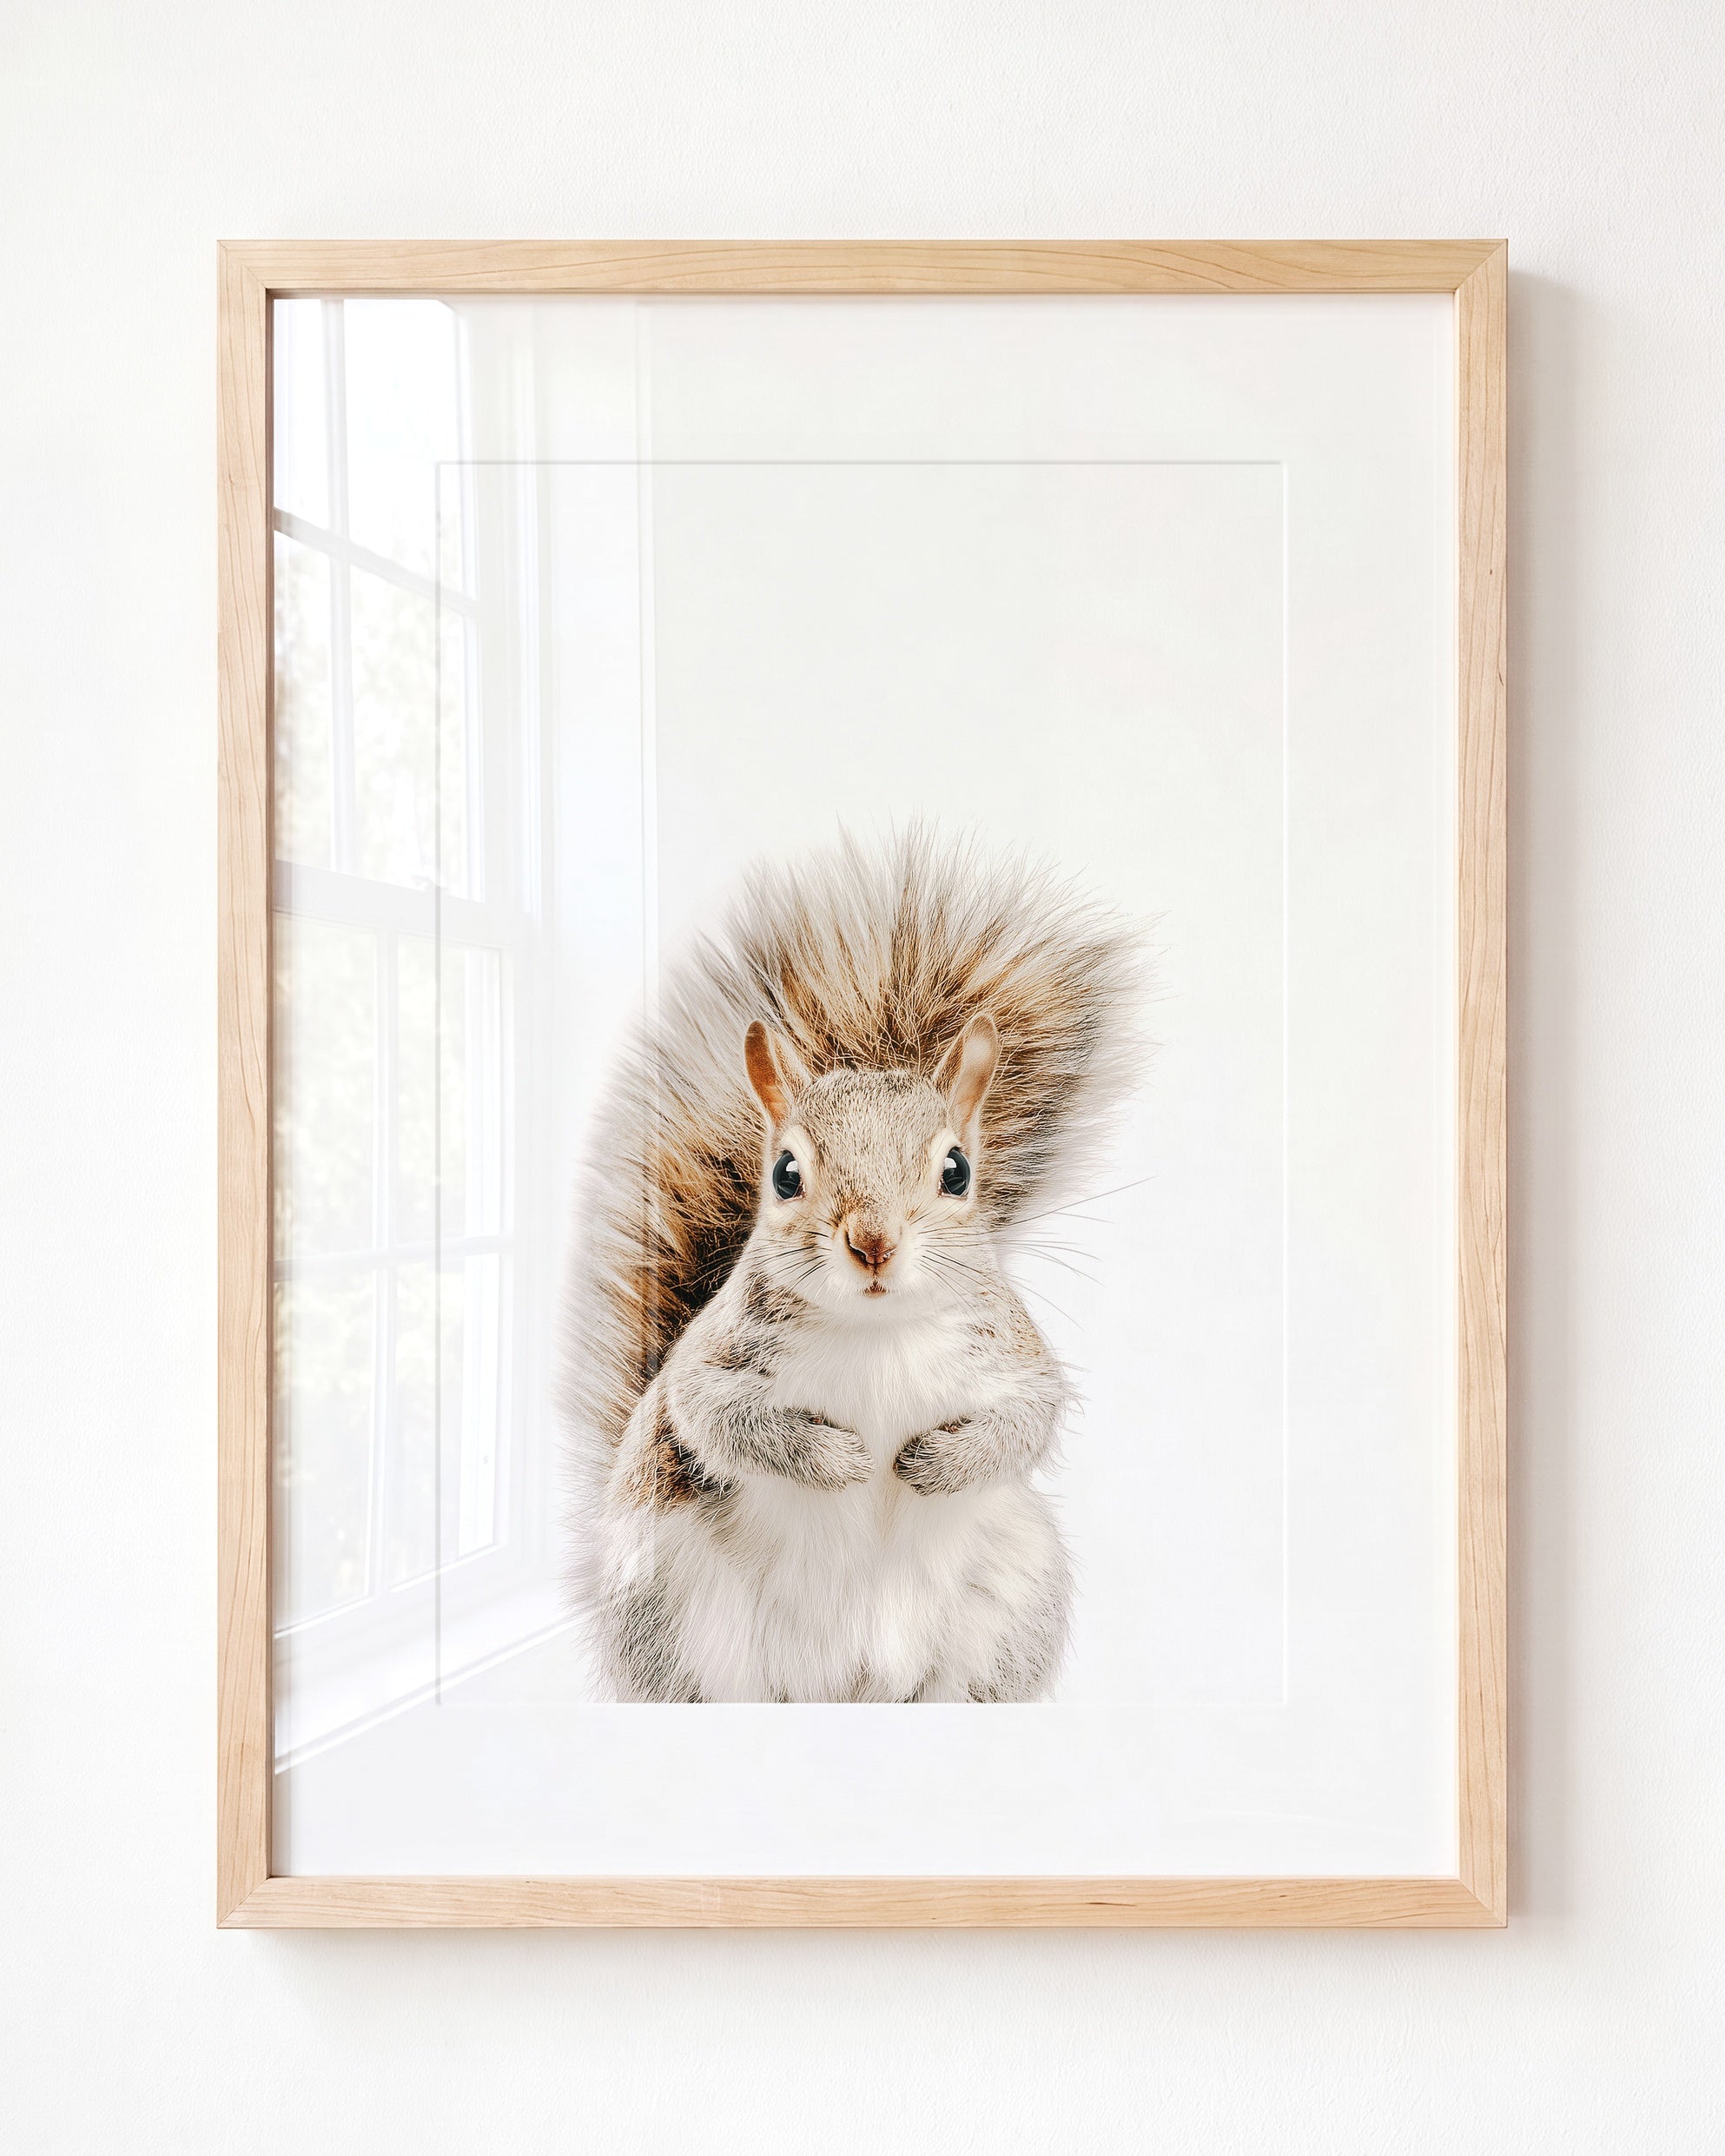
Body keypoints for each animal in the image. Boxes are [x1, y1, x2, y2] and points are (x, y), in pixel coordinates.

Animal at [558, 826, 1142, 1703]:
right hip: (673, 1609)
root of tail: (848, 1685)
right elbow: (717, 1416)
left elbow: (1027, 1421)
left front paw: (933, 1463)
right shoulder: (710, 1362)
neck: (876, 1331)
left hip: (1007, 1606)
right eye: (785, 1174)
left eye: (957, 1171)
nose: (873, 1243)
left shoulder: (1013, 1358)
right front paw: (839, 1459)